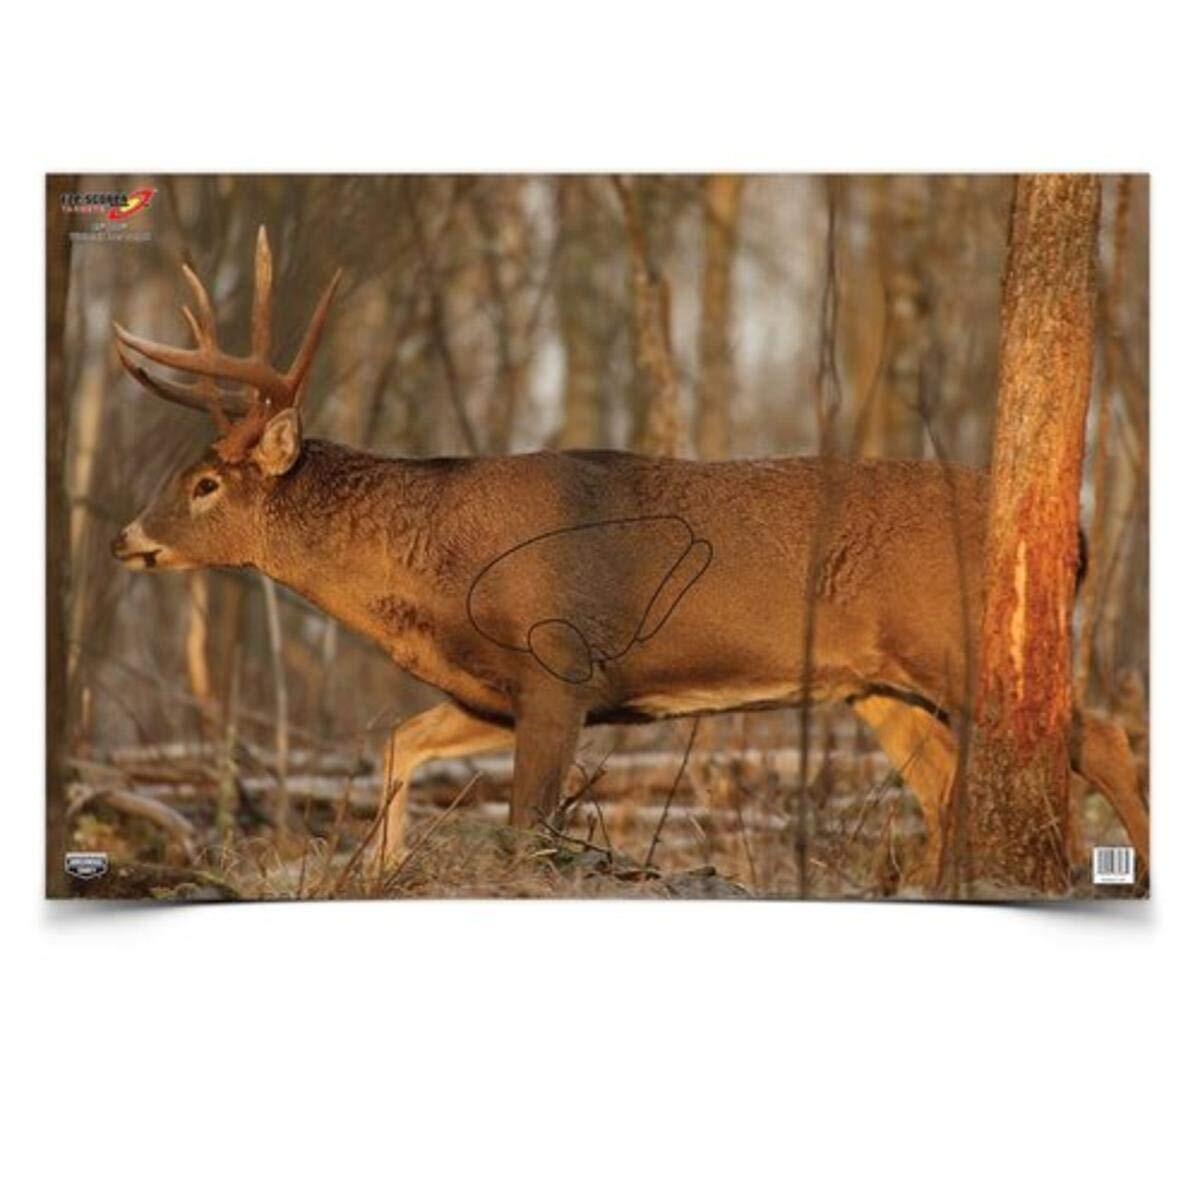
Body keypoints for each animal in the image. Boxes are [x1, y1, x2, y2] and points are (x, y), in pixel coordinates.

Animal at [110, 227, 1149, 890]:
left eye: (206, 483)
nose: (125, 538)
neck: (435, 573)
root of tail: (1076, 532)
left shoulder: (560, 666)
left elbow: (529, 832)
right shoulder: (495, 690)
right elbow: (399, 742)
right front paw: (385, 868)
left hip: (959, 643)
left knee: (1101, 739)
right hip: (875, 684)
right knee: (944, 785)